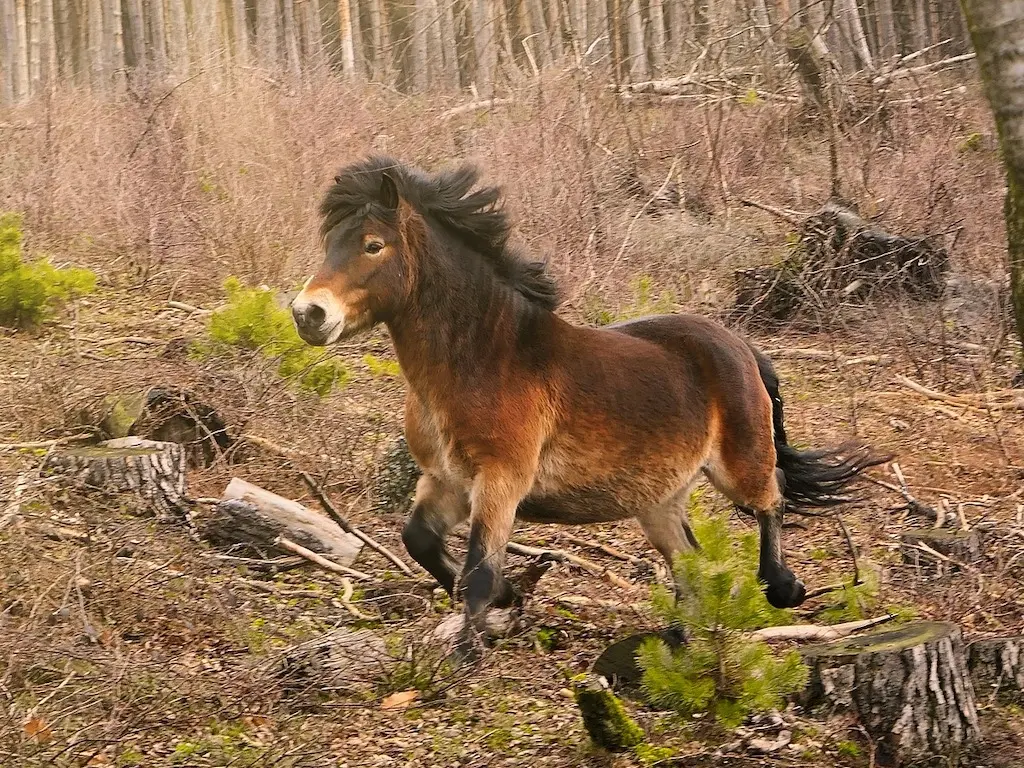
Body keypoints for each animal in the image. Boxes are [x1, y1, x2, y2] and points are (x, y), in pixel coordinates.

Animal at [290, 157, 888, 663]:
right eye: (331, 242)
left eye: (373, 245)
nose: (307, 314)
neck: (485, 357)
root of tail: (740, 346)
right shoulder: (447, 481)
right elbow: (421, 543)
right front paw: (510, 598)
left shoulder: (500, 481)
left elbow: (479, 572)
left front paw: (466, 652)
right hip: (658, 499)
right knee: (690, 561)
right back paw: (679, 639)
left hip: (737, 464)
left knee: (773, 496)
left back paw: (783, 587)